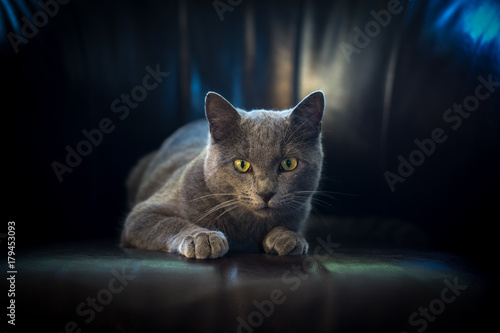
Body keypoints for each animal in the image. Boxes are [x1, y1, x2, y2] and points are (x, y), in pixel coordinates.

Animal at [120, 89, 324, 258]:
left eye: (289, 163)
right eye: (242, 164)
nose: (266, 192)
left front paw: (287, 236)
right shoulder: (141, 215)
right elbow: (170, 223)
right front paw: (202, 238)